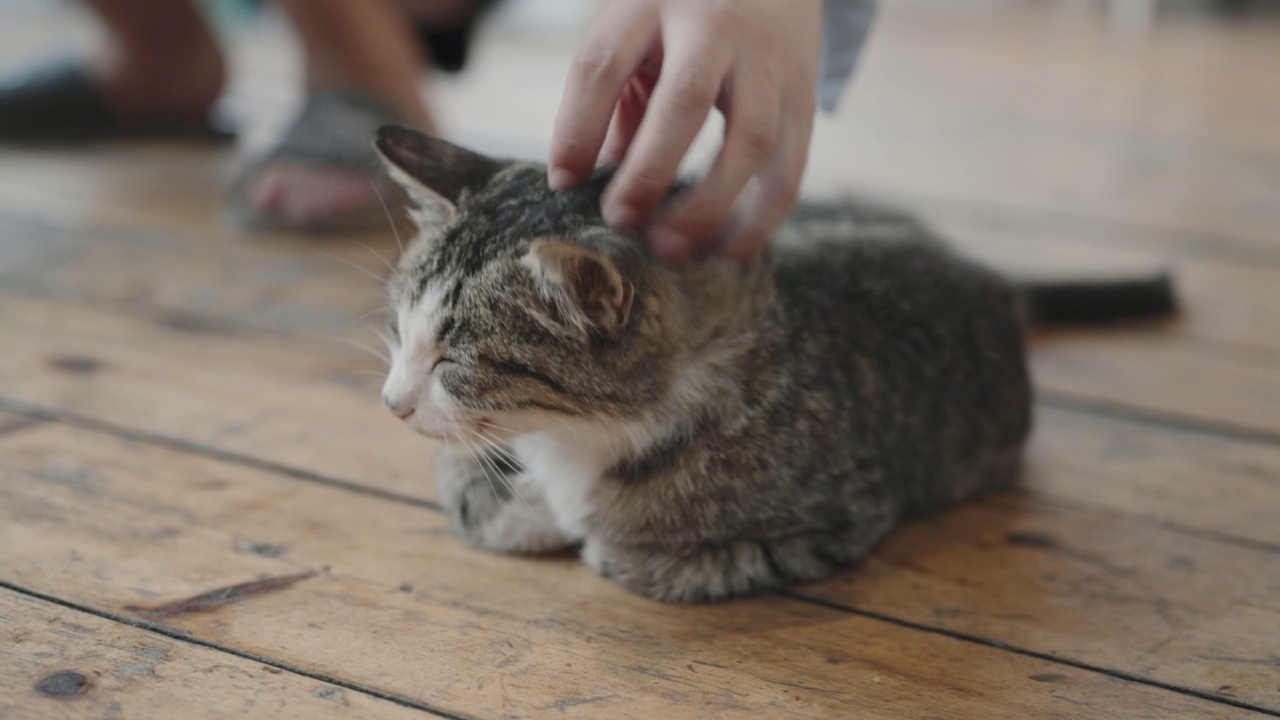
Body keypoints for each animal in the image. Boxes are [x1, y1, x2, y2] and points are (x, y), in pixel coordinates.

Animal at [368, 124, 1172, 599]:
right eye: (401, 326)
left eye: (456, 362)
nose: (391, 403)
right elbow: (468, 487)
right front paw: (525, 504)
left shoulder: (836, 521)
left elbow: (640, 555)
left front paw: (590, 532)